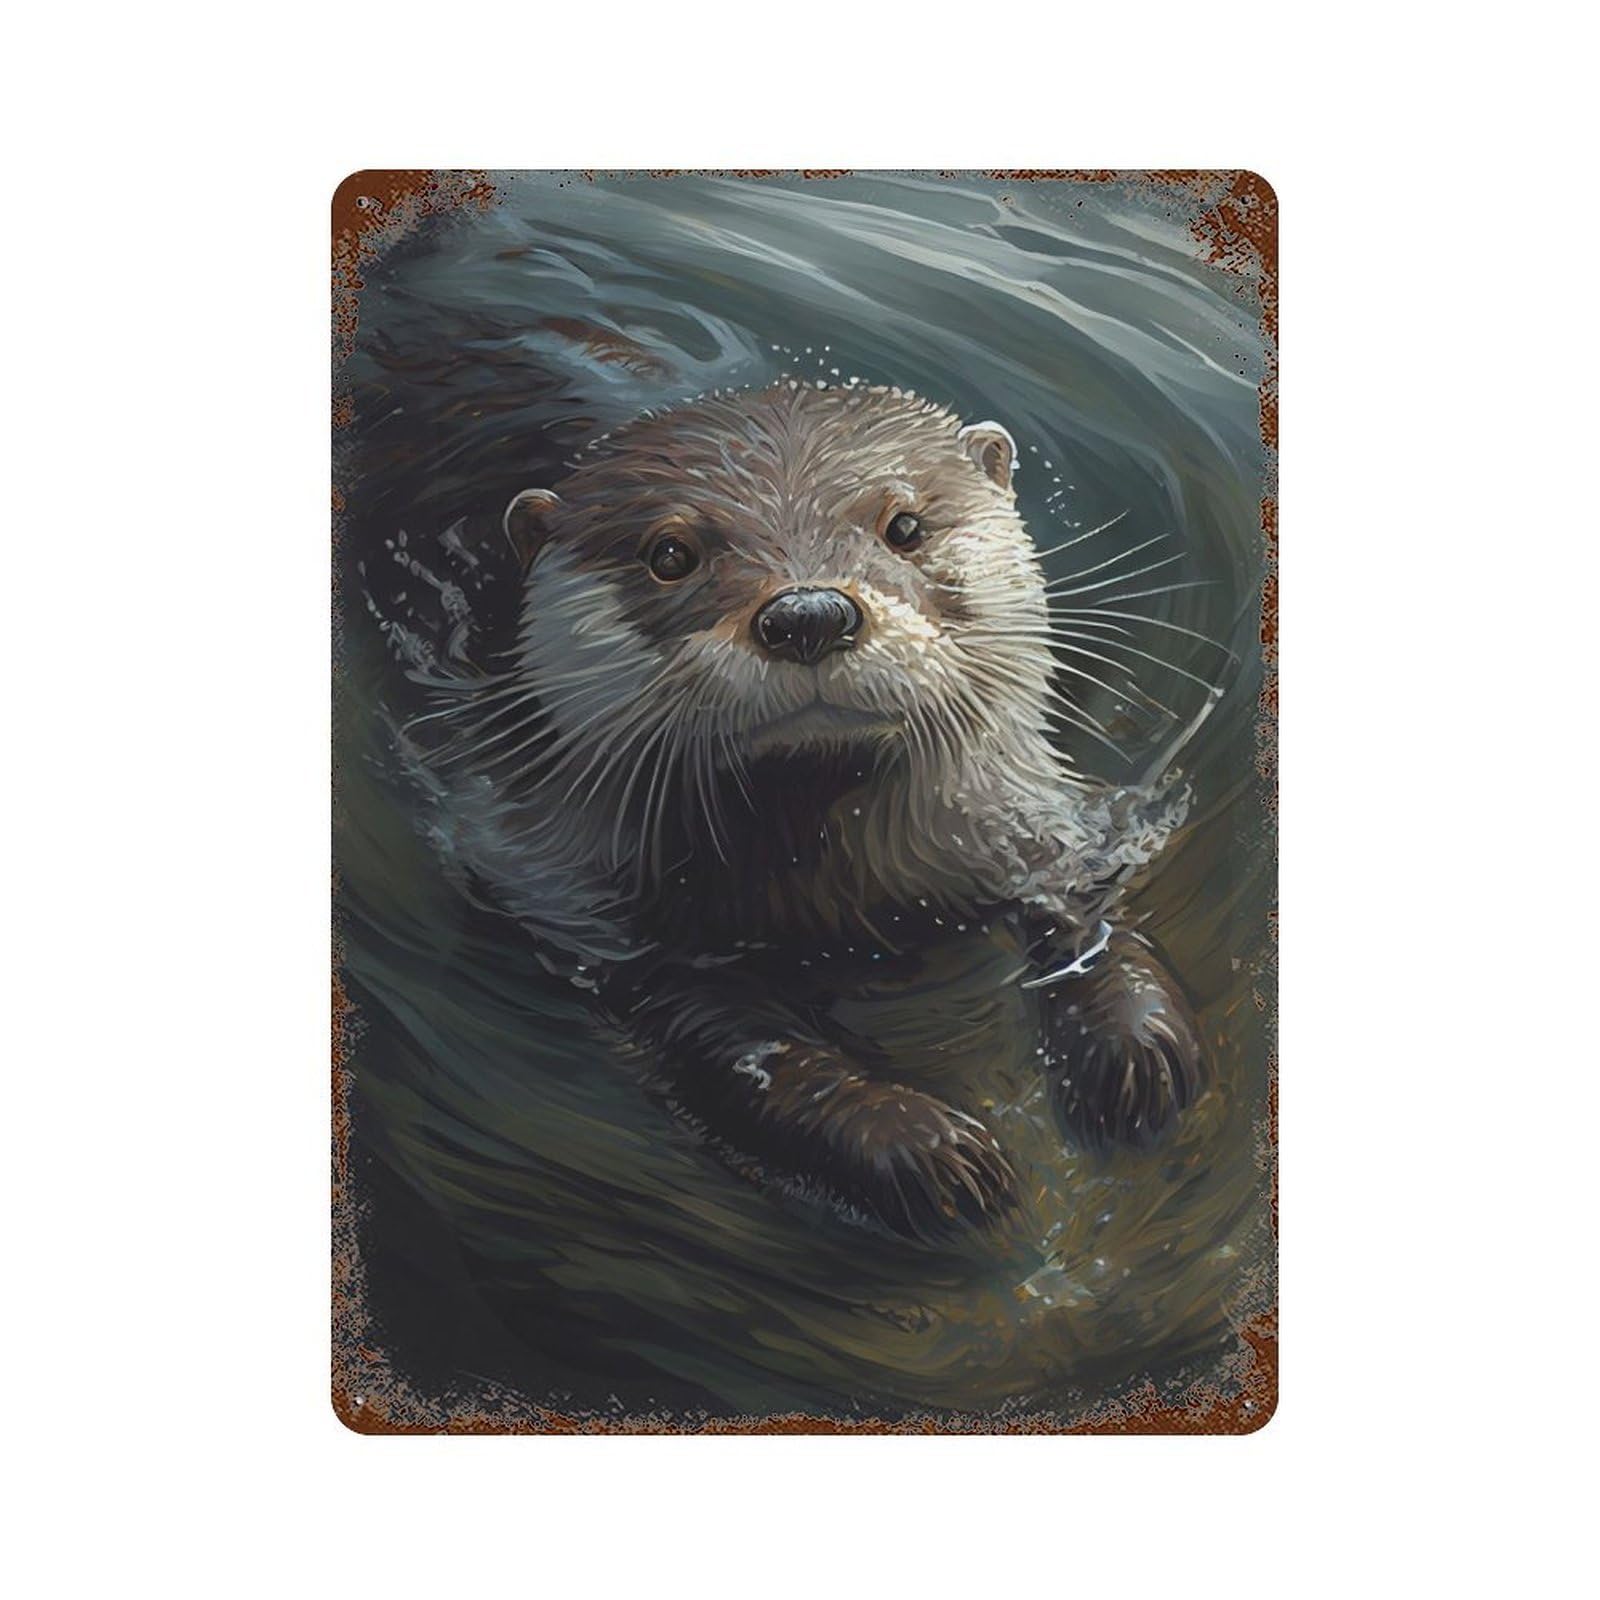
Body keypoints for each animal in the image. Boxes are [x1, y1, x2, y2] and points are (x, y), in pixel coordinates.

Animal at [408, 381, 1202, 1242]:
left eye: (905, 527)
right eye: (670, 555)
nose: (809, 613)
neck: (846, 885)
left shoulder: (1031, 819)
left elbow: (1087, 906)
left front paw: (1138, 1048)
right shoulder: (584, 906)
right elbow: (748, 1051)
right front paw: (921, 1148)